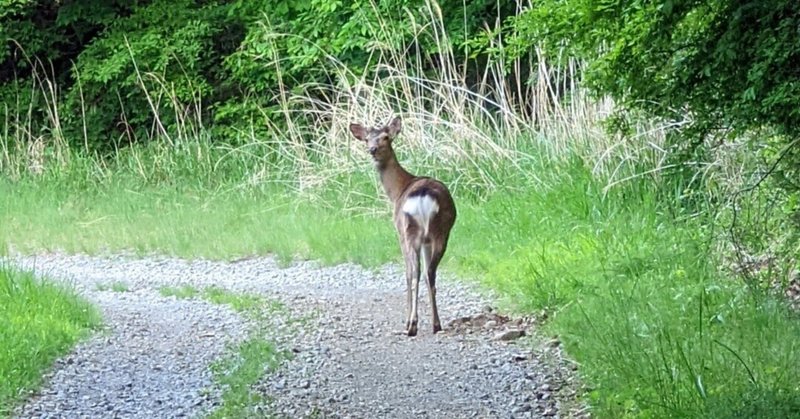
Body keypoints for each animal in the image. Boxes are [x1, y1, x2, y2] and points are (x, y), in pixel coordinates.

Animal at [348, 115, 456, 338]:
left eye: (385, 137)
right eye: (367, 139)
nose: (372, 149)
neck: (397, 190)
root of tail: (422, 195)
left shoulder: (399, 233)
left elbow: (408, 274)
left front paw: (408, 322)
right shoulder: (426, 242)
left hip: (409, 232)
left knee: (414, 273)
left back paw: (412, 325)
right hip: (439, 232)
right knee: (429, 273)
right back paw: (435, 324)